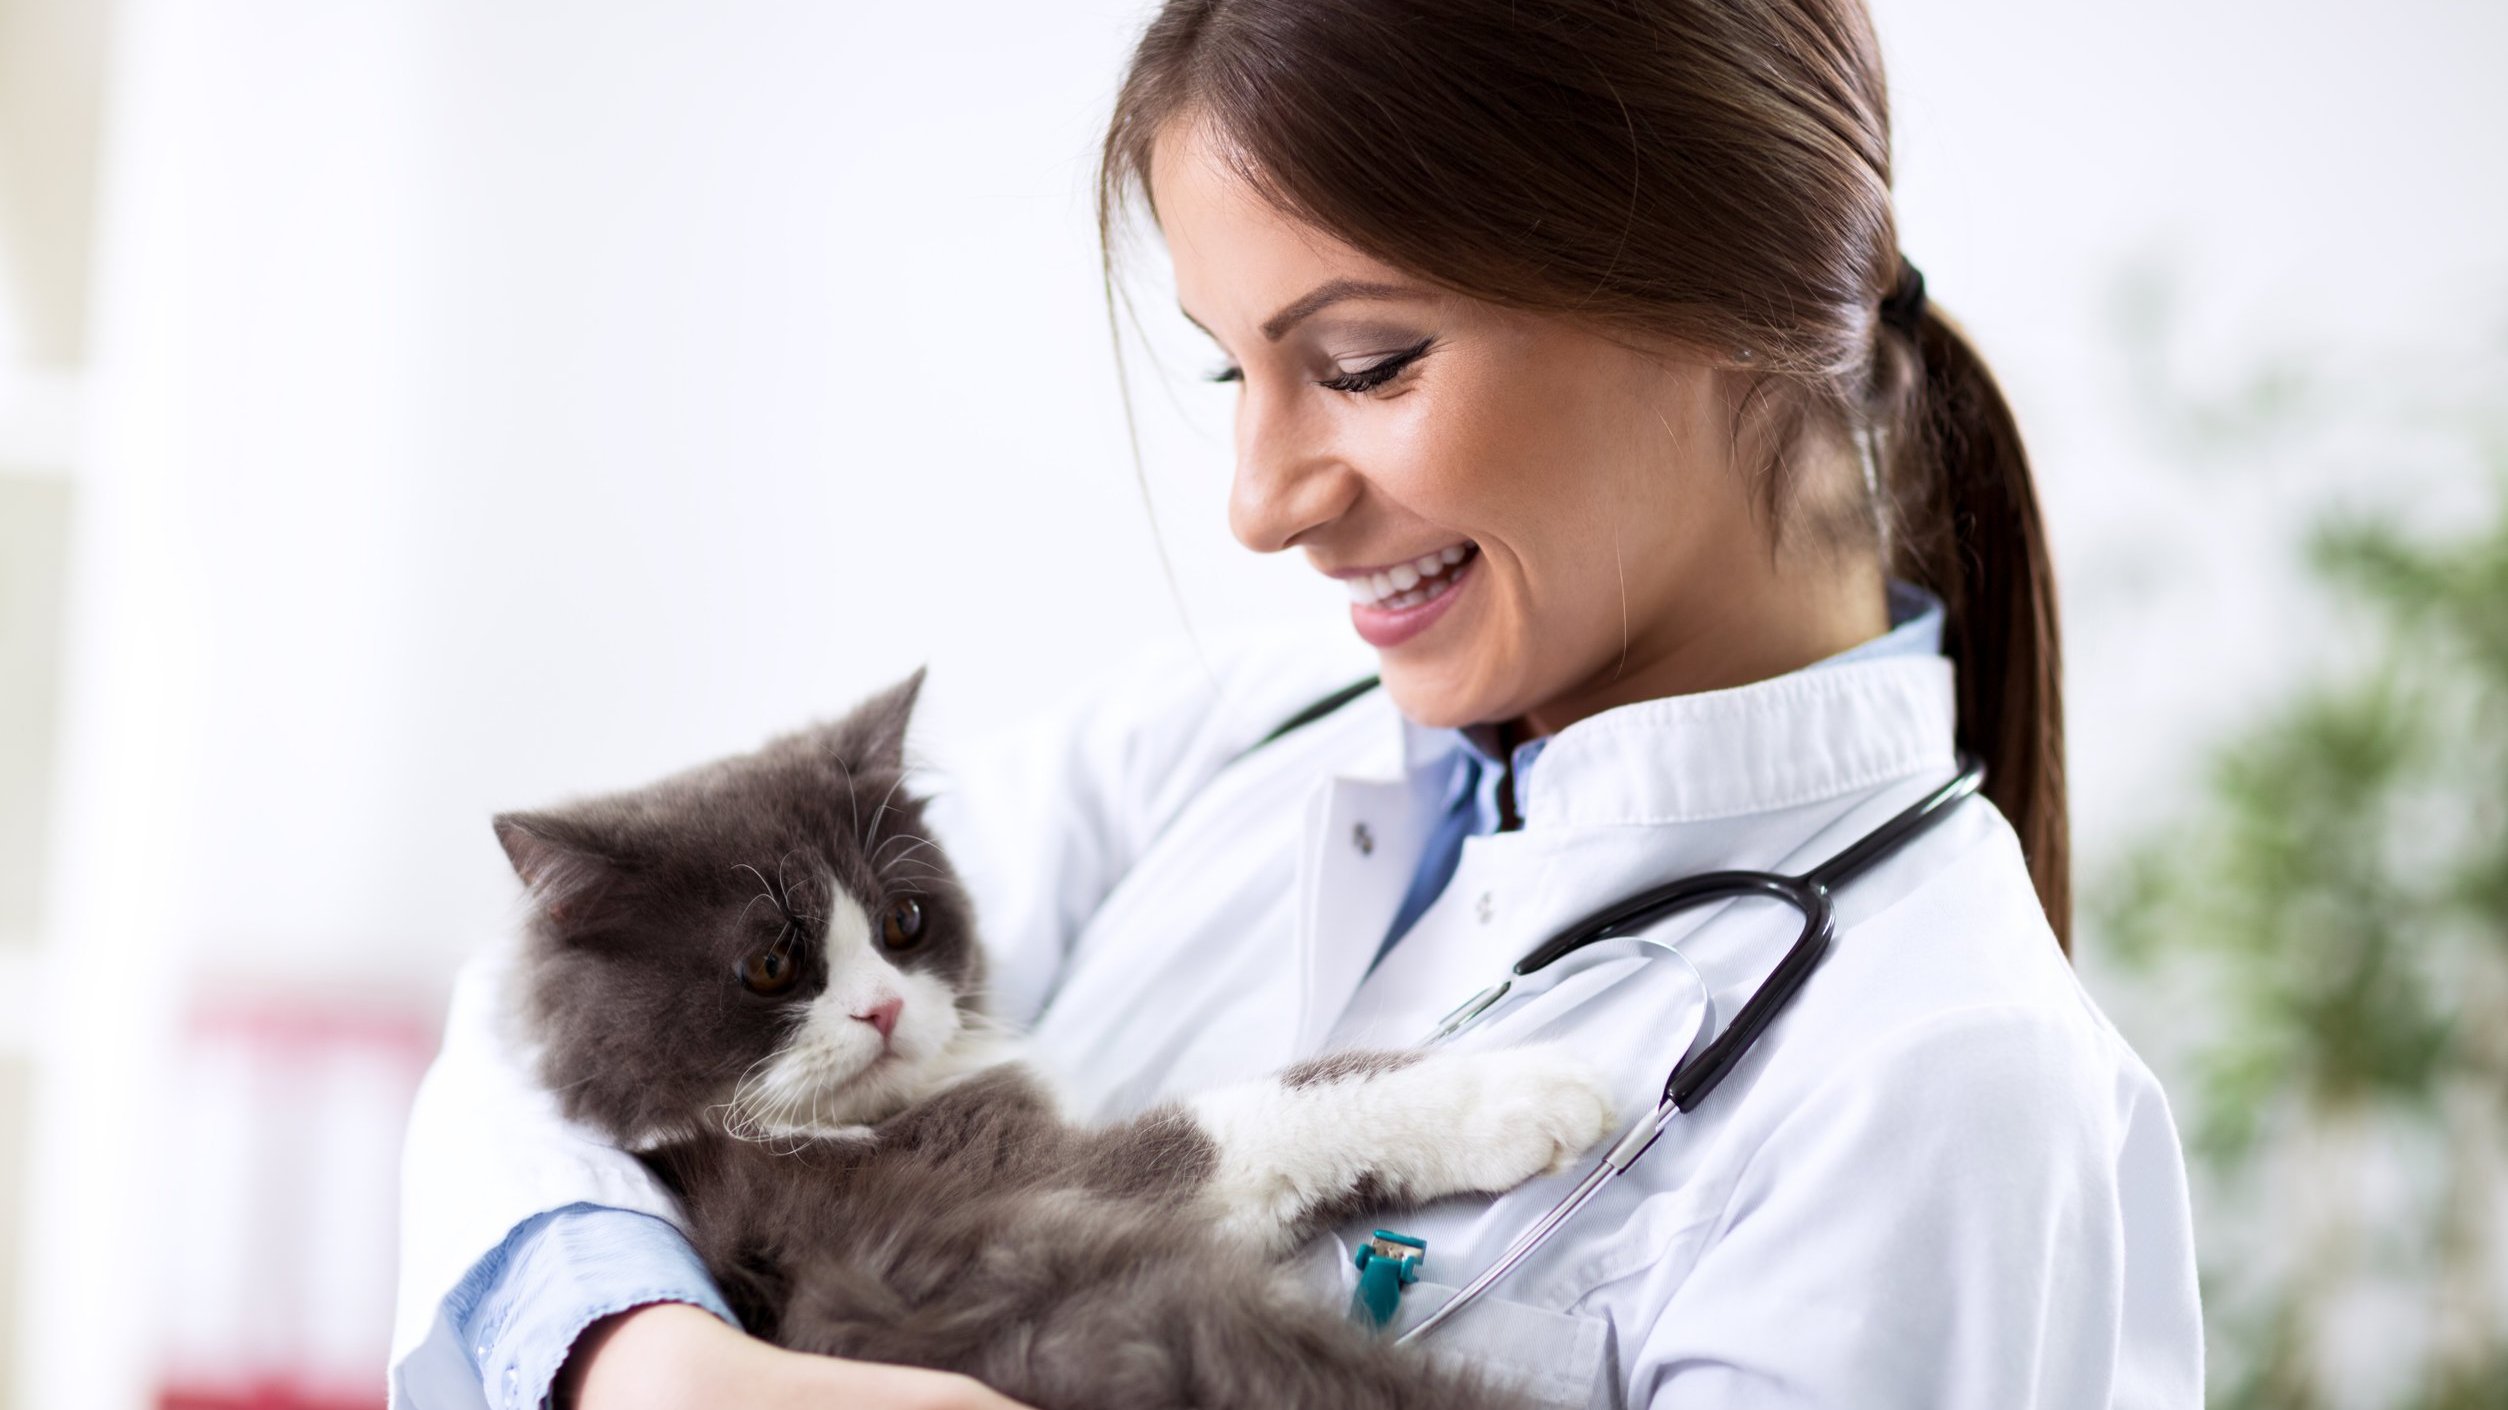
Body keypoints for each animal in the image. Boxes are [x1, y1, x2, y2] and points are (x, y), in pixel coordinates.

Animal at [499, 667, 1615, 1404]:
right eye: (771, 965)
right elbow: (1247, 1118)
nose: (884, 1008)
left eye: (905, 922)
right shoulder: (1005, 1194)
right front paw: (1524, 1093)